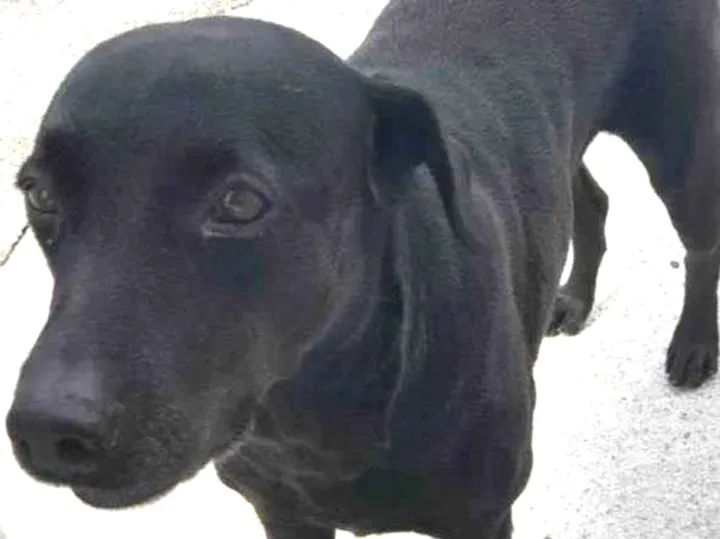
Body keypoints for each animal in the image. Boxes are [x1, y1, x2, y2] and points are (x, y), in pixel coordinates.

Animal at [5, 1, 720, 537]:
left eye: (239, 202)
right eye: (38, 195)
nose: (47, 430)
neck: (312, 414)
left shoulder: (482, 517)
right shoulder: (284, 514)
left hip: (680, 144)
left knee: (700, 244)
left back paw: (692, 345)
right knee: (588, 200)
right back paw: (572, 297)